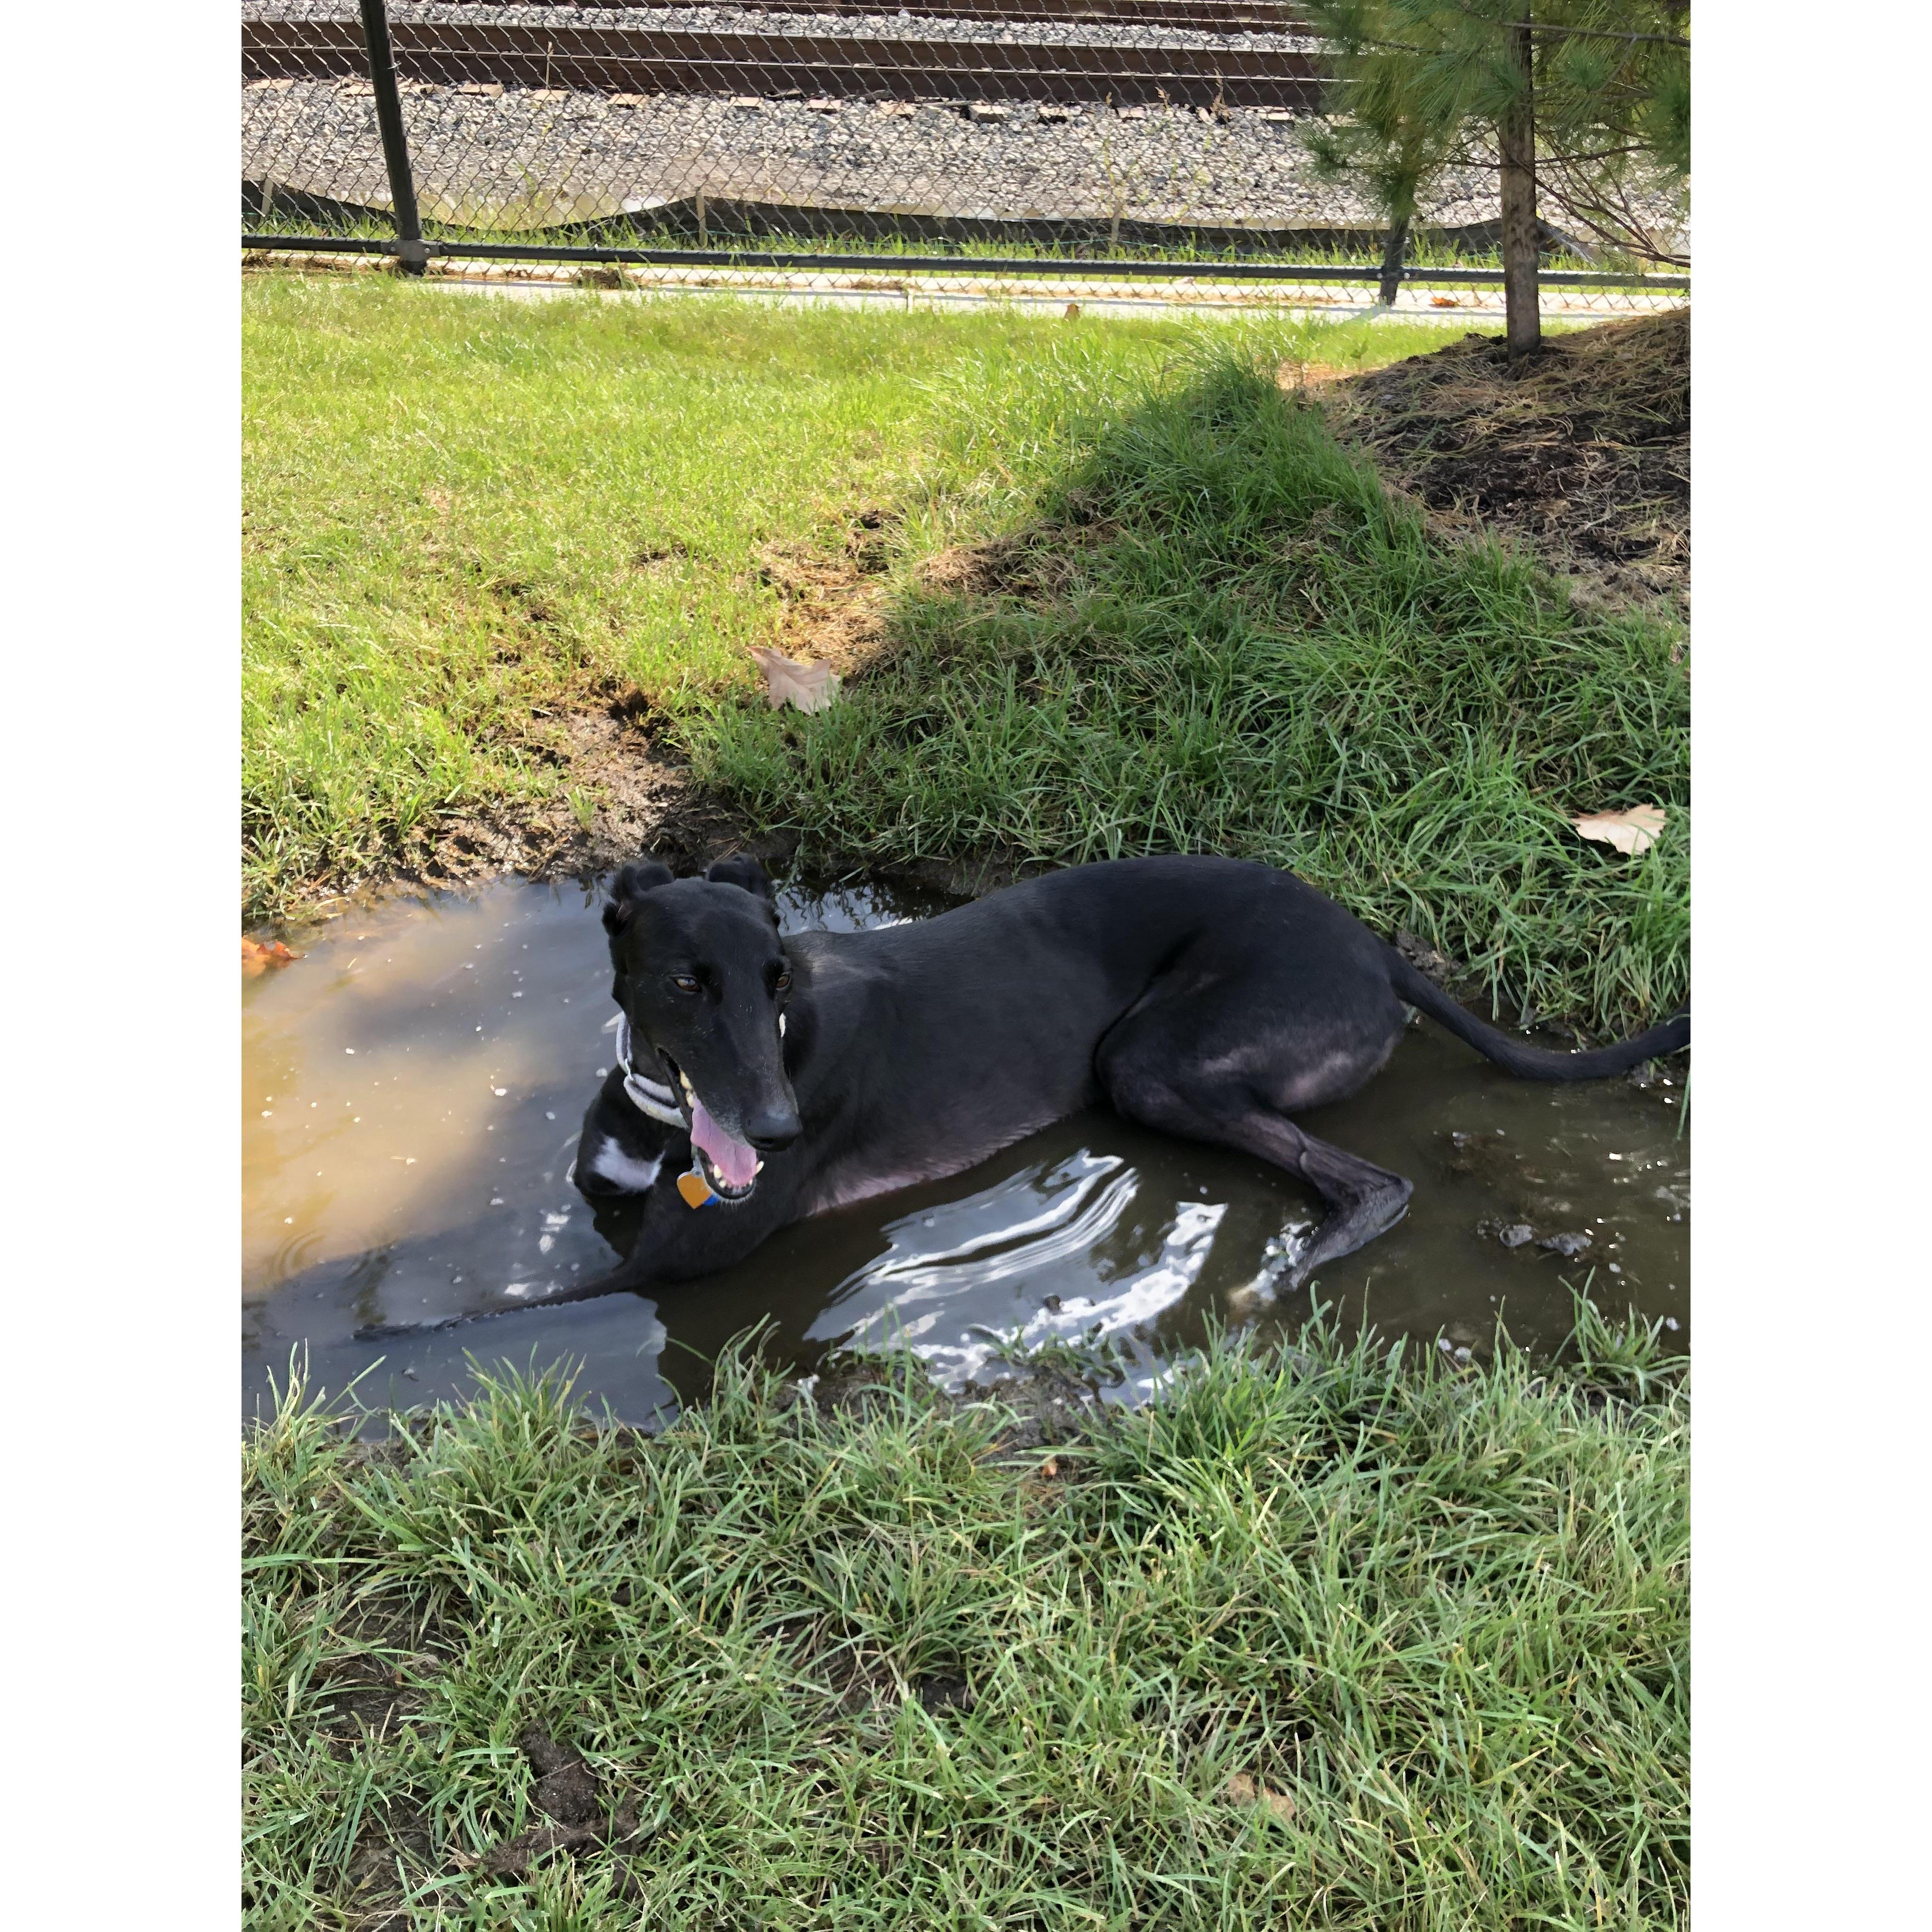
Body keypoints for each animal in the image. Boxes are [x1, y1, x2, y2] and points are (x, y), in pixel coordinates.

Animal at [365, 854, 1692, 1337]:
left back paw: (1305, 1259)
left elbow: (455, 1316)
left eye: (780, 975)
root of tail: (1373, 949)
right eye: (691, 981)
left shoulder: (668, 1266)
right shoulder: (609, 1198)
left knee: (1372, 1183)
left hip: (1156, 1061)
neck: (663, 1113)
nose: (781, 1132)